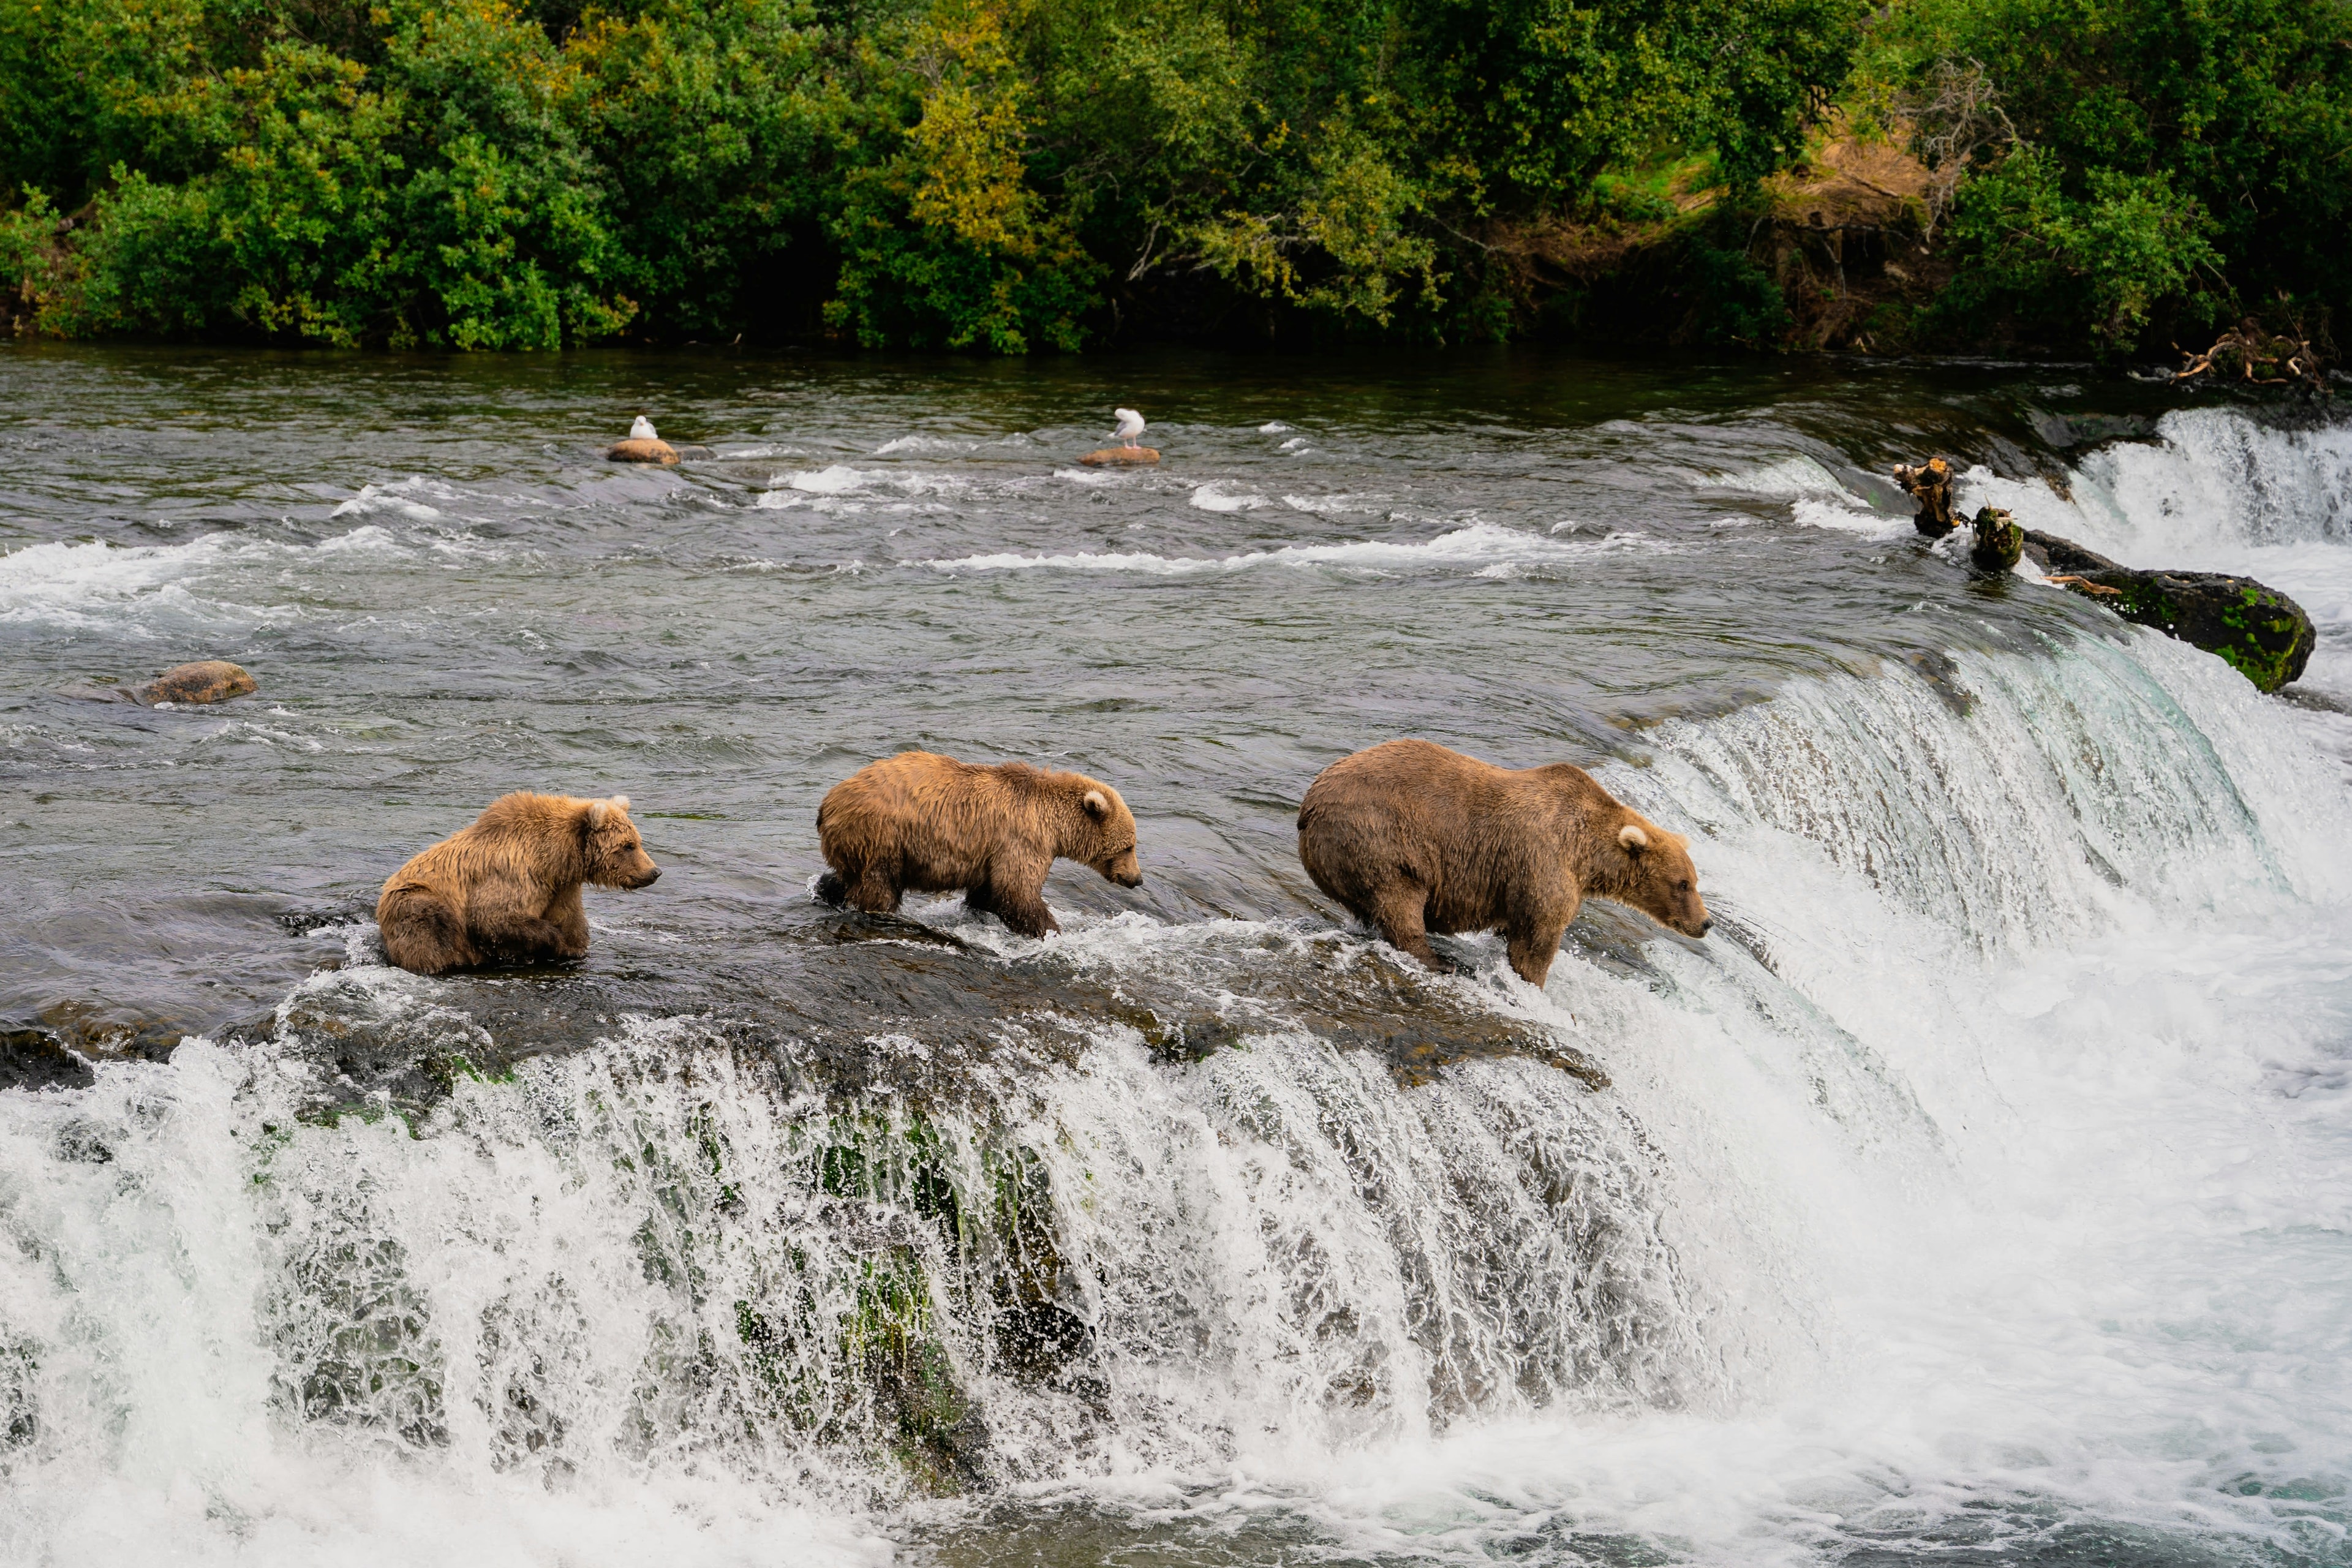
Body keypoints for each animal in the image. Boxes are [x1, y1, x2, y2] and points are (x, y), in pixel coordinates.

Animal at [376, 792, 660, 975]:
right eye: (628, 845)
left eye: (638, 841)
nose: (655, 871)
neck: (555, 858)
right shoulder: (514, 873)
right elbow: (492, 917)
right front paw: (553, 941)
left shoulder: (561, 887)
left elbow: (572, 923)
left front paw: (570, 948)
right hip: (417, 900)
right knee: (427, 929)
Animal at [814, 751, 1142, 938]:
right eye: (1128, 846)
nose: (1137, 879)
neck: (1054, 824)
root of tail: (829, 801)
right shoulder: (1022, 841)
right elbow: (1017, 891)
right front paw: (1051, 931)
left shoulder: (992, 853)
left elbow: (990, 892)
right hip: (882, 836)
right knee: (878, 886)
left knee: (847, 877)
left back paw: (827, 890)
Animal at [1296, 738, 1710, 986]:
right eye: (1682, 884)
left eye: (1694, 881)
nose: (1705, 923)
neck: (1588, 857)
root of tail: (1308, 805)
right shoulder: (1543, 863)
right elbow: (1537, 938)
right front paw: (1534, 983)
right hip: (1381, 837)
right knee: (1399, 899)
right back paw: (1438, 961)